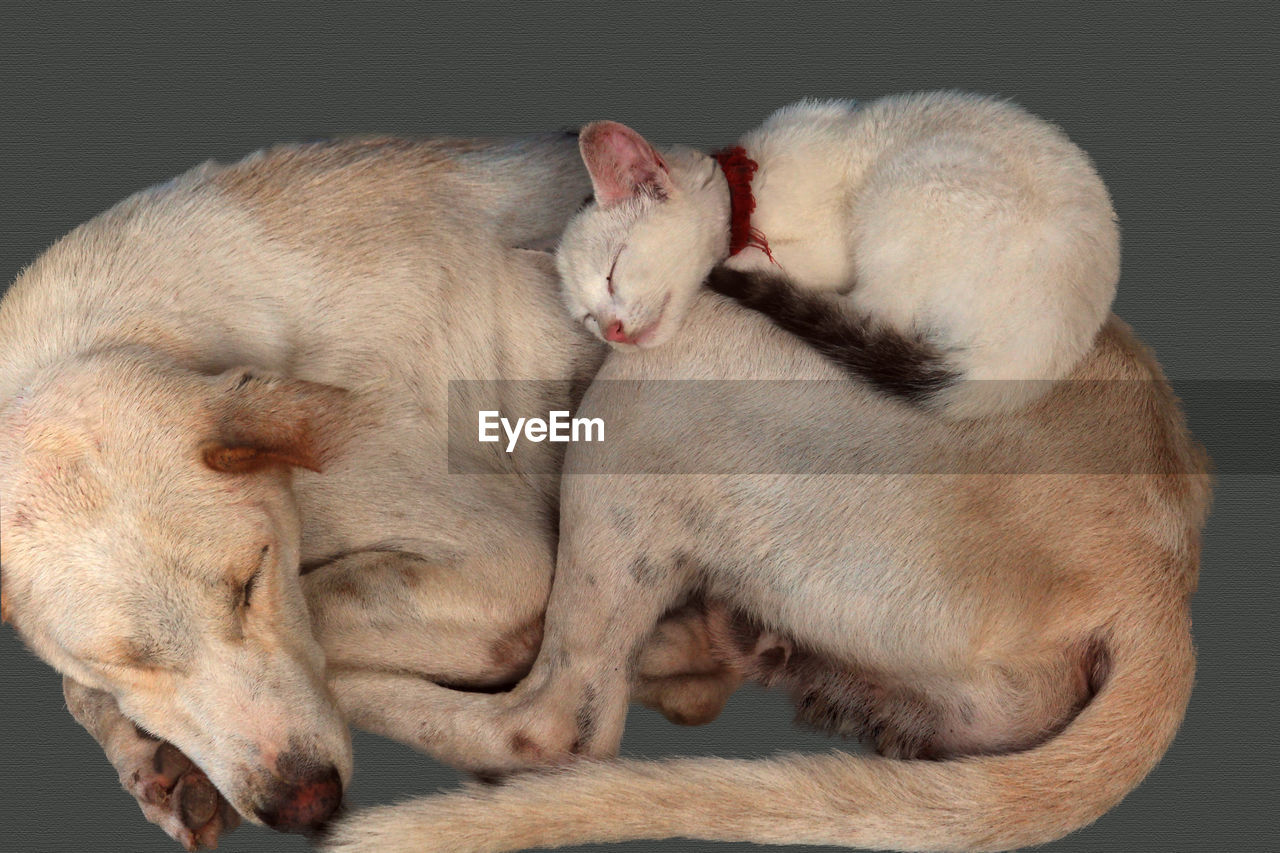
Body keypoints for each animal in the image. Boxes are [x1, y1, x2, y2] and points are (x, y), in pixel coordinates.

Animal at [560, 90, 1121, 414]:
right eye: (587, 317)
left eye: (613, 272)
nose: (612, 331)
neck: (747, 189)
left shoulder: (827, 243)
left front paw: (733, 262)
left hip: (913, 182)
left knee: (874, 308)